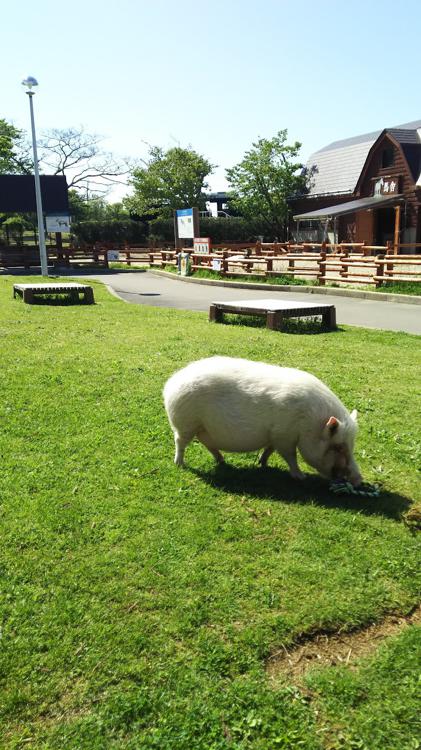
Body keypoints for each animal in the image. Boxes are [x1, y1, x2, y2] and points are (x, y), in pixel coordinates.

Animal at [163, 358, 360, 488]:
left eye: (352, 445)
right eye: (338, 447)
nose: (359, 479)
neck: (310, 423)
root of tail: (170, 384)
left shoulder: (275, 435)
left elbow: (270, 449)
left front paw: (263, 463)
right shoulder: (284, 435)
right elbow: (290, 456)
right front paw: (301, 477)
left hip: (202, 428)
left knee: (208, 444)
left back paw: (222, 460)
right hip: (185, 423)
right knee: (180, 442)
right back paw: (179, 464)